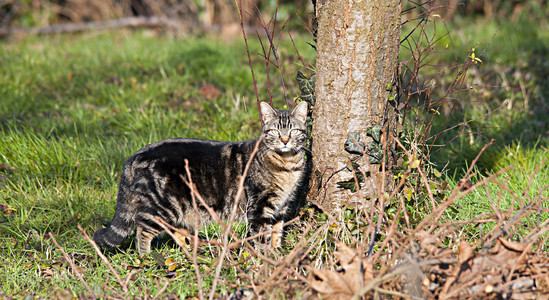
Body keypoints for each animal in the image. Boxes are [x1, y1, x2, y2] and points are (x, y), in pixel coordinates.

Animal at [94, 101, 308, 253]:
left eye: (293, 130)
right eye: (275, 131)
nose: (285, 140)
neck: (288, 165)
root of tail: (133, 157)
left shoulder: (281, 207)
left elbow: (277, 233)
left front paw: (277, 255)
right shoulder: (259, 207)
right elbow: (262, 238)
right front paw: (265, 261)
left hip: (176, 209)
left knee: (176, 232)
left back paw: (192, 253)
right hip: (162, 206)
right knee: (142, 231)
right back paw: (147, 258)